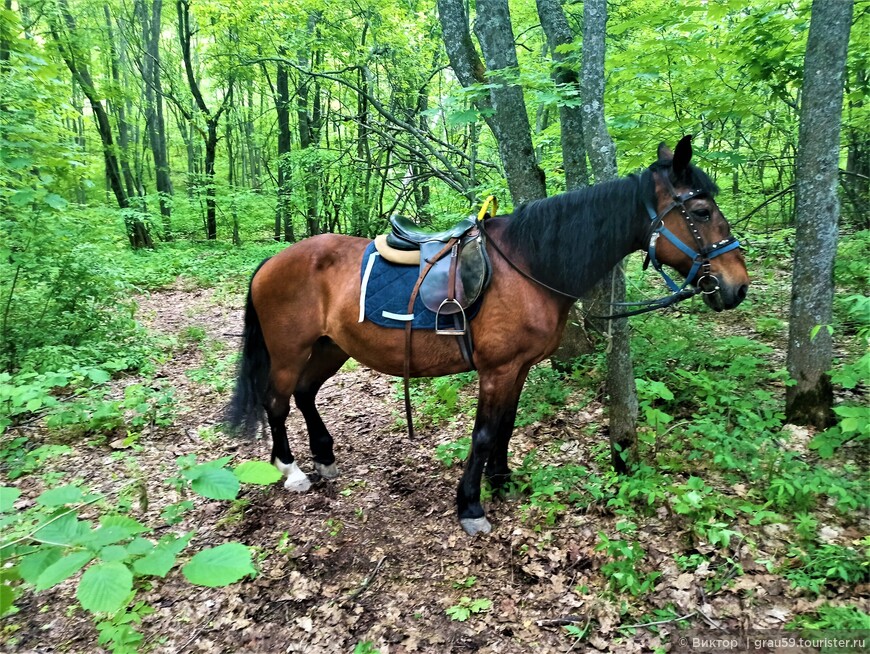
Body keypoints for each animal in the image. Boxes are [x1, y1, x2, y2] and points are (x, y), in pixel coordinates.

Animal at [228, 136, 752, 536]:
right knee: (277, 401)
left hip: (329, 347)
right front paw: (471, 506)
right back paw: (291, 470)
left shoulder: (518, 368)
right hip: (290, 351)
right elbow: (482, 434)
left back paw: (324, 456)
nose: (737, 285)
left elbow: (507, 425)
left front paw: (502, 479)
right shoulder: (497, 369)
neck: (529, 265)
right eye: (701, 211)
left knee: (304, 394)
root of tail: (273, 261)